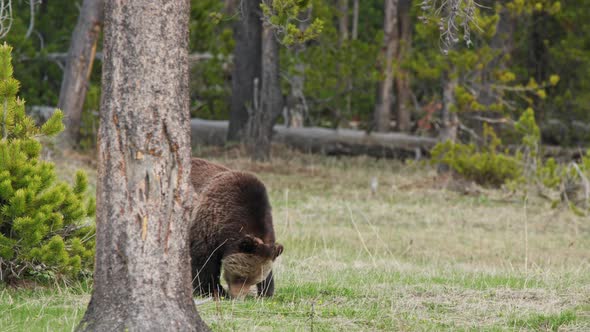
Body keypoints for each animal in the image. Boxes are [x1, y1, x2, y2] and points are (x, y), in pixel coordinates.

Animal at [188, 158, 284, 298]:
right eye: (239, 276)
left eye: (252, 280)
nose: (237, 297)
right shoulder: (207, 225)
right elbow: (204, 262)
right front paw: (213, 290)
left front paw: (266, 291)